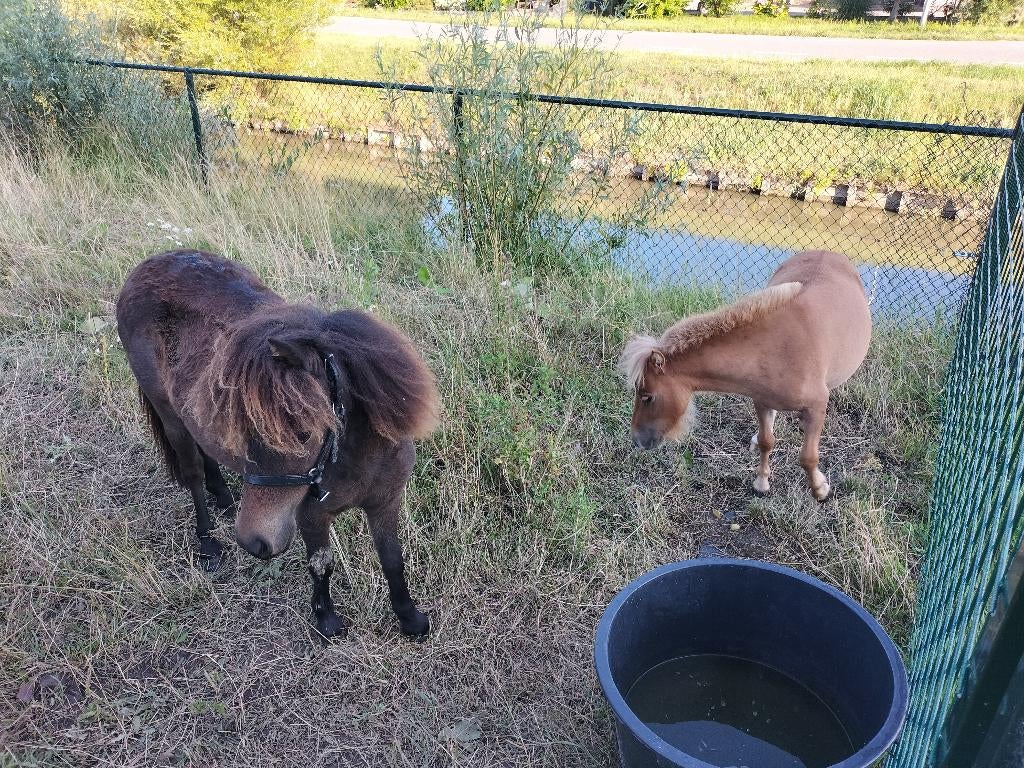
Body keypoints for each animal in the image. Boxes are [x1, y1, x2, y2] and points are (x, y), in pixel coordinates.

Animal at [116, 250, 440, 639]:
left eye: (304, 432)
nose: (253, 542)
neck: (357, 459)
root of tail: (142, 271)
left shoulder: (386, 502)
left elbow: (393, 560)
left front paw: (411, 619)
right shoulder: (311, 515)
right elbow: (321, 564)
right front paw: (327, 621)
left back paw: (225, 499)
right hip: (170, 417)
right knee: (192, 475)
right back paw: (208, 543)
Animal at [619, 250, 872, 502]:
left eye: (647, 396)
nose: (636, 439)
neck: (777, 348)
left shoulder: (817, 405)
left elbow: (808, 457)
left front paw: (819, 489)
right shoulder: (761, 402)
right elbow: (766, 441)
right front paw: (761, 482)